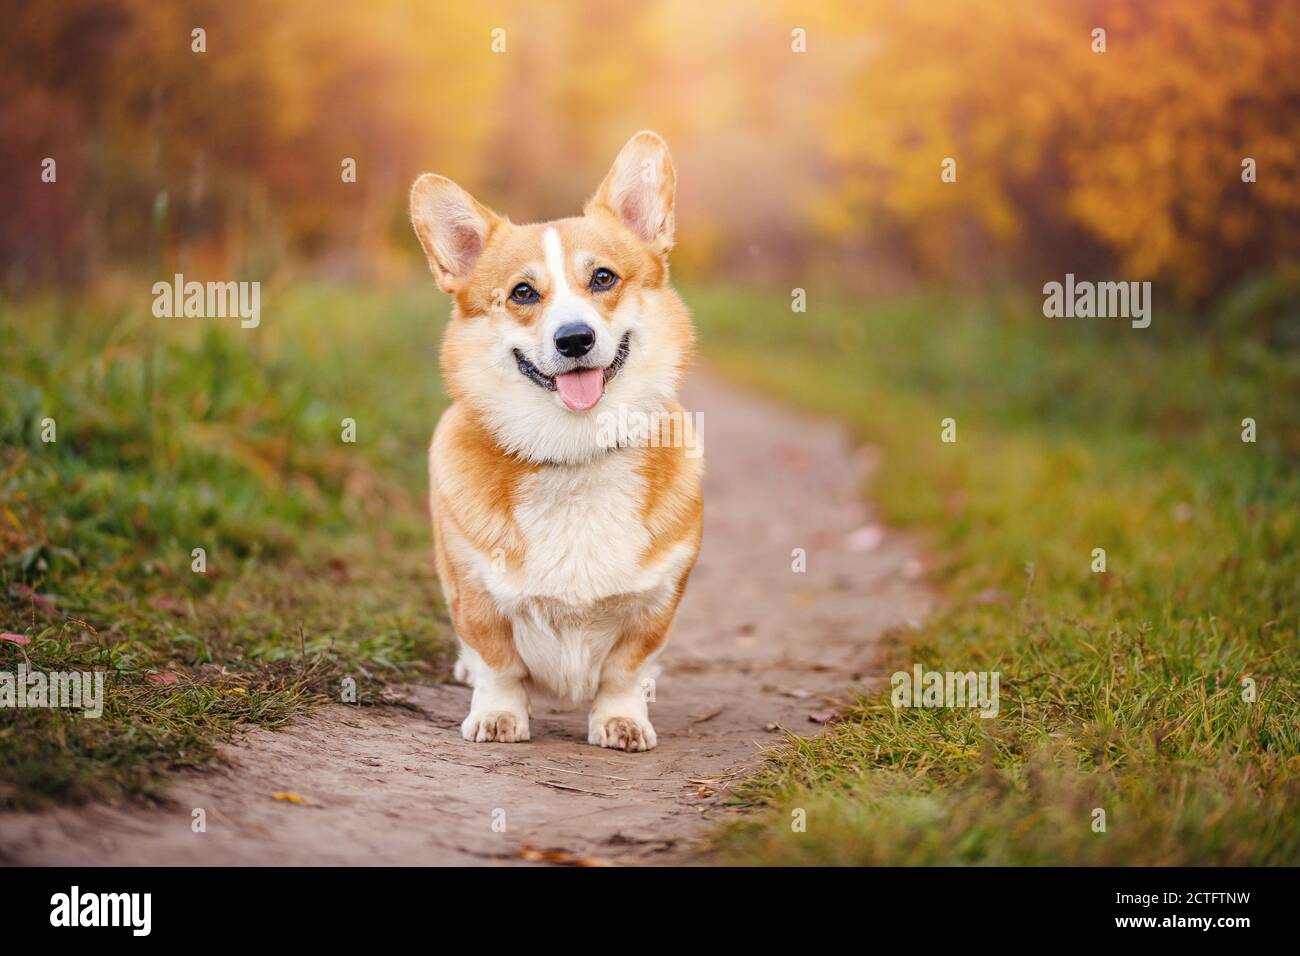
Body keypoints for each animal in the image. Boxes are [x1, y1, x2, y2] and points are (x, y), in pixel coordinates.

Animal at [410, 130, 707, 749]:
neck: (577, 452)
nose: (574, 339)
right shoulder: (475, 594)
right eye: (523, 292)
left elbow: (624, 670)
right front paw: (499, 716)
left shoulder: (657, 602)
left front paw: (621, 719)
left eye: (603, 278)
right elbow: (498, 664)